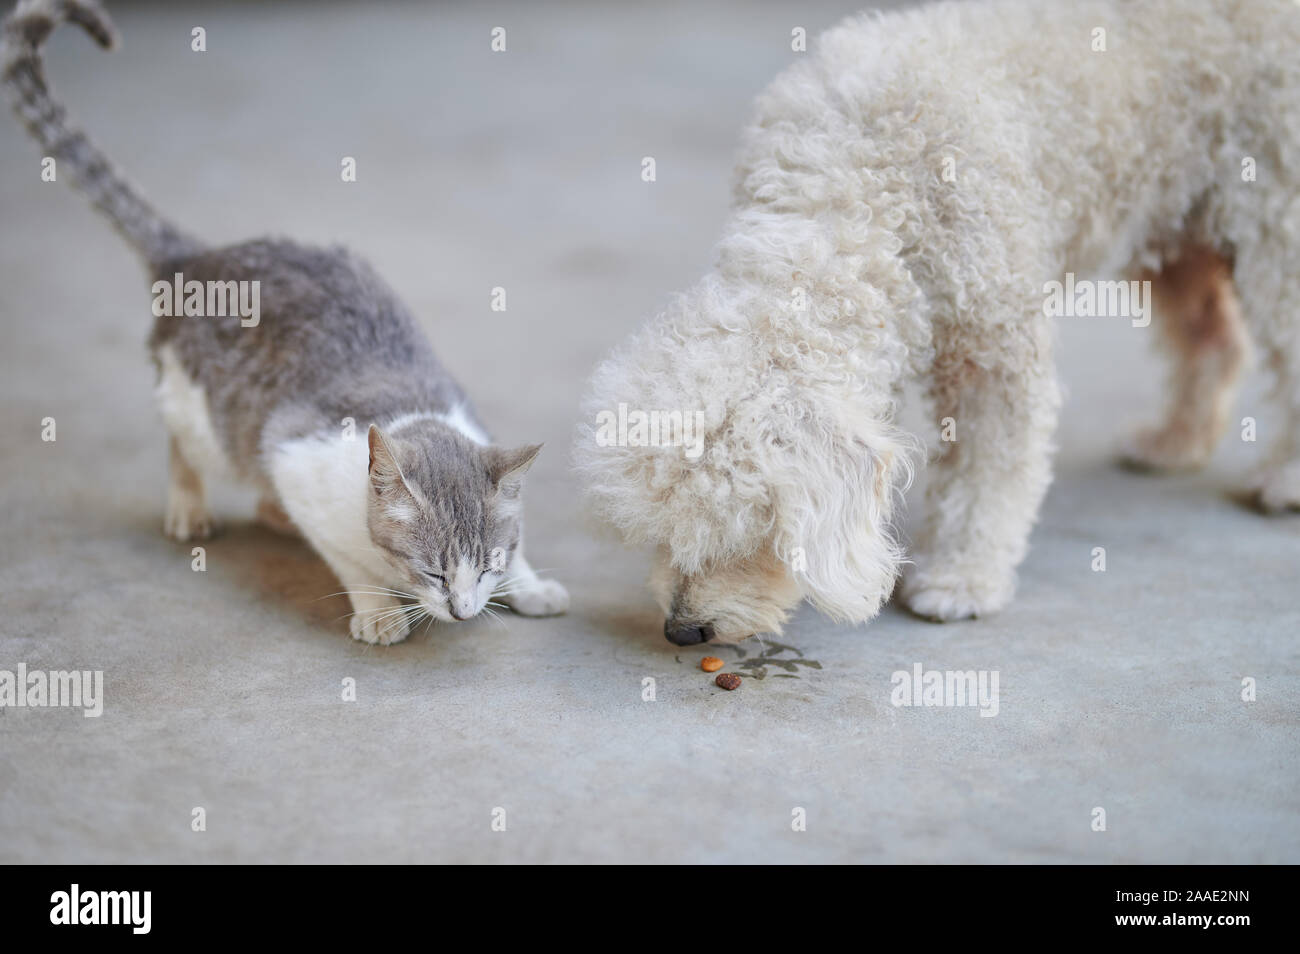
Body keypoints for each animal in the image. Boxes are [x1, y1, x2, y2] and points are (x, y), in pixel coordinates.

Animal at [2, 0, 566, 647]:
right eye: (433, 572)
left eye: (490, 563)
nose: (465, 610)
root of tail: (198, 257)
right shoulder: (295, 458)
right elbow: (348, 559)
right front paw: (379, 611)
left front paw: (529, 584)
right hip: (204, 414)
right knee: (183, 443)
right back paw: (191, 507)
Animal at [579, 0, 1300, 647]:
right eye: (662, 532)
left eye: (747, 534)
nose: (682, 631)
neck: (867, 185)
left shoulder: (997, 345)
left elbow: (989, 474)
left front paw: (961, 579)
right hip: (1175, 224)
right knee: (1211, 338)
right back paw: (1177, 441)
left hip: (1274, 220)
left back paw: (1285, 481)